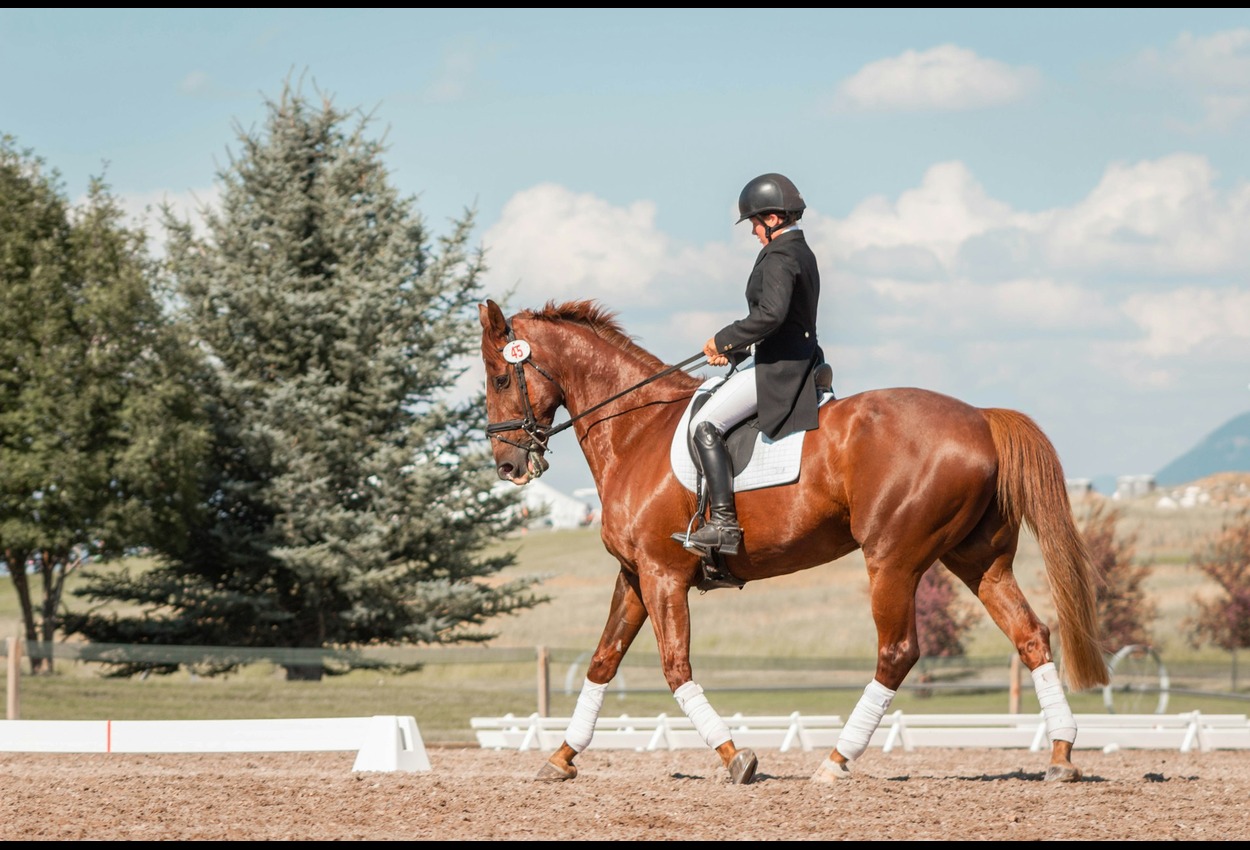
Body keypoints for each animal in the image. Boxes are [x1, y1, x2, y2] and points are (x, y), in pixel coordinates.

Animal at [478, 298, 1108, 785]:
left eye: (501, 377)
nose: (508, 466)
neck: (636, 430)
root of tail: (980, 418)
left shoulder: (662, 574)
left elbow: (675, 667)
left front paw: (736, 757)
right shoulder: (635, 575)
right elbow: (603, 660)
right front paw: (561, 758)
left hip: (893, 560)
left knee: (897, 652)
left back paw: (835, 761)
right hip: (979, 560)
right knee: (1030, 635)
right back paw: (1061, 755)